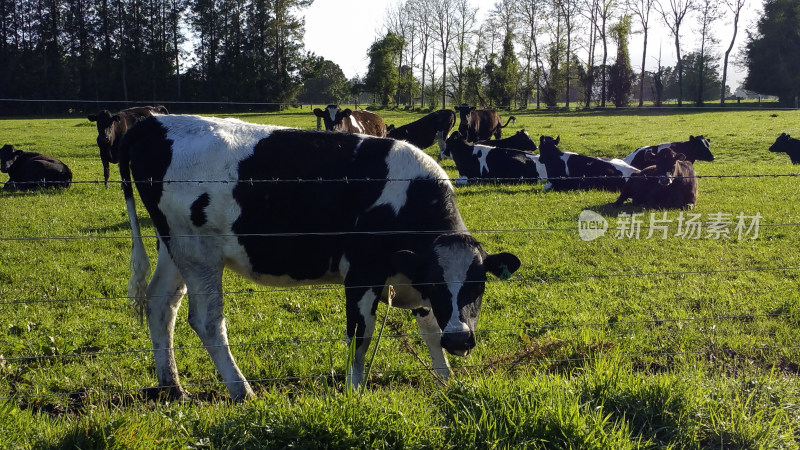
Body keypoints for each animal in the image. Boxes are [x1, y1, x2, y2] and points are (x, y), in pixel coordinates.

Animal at [117, 114, 520, 400]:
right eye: (440, 282)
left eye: (478, 285)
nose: (461, 341)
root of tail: (154, 122)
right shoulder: (362, 273)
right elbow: (360, 334)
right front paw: (354, 392)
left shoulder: (413, 275)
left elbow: (432, 331)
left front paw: (447, 382)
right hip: (199, 253)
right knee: (206, 320)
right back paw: (241, 390)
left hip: (174, 248)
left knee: (161, 305)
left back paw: (172, 386)